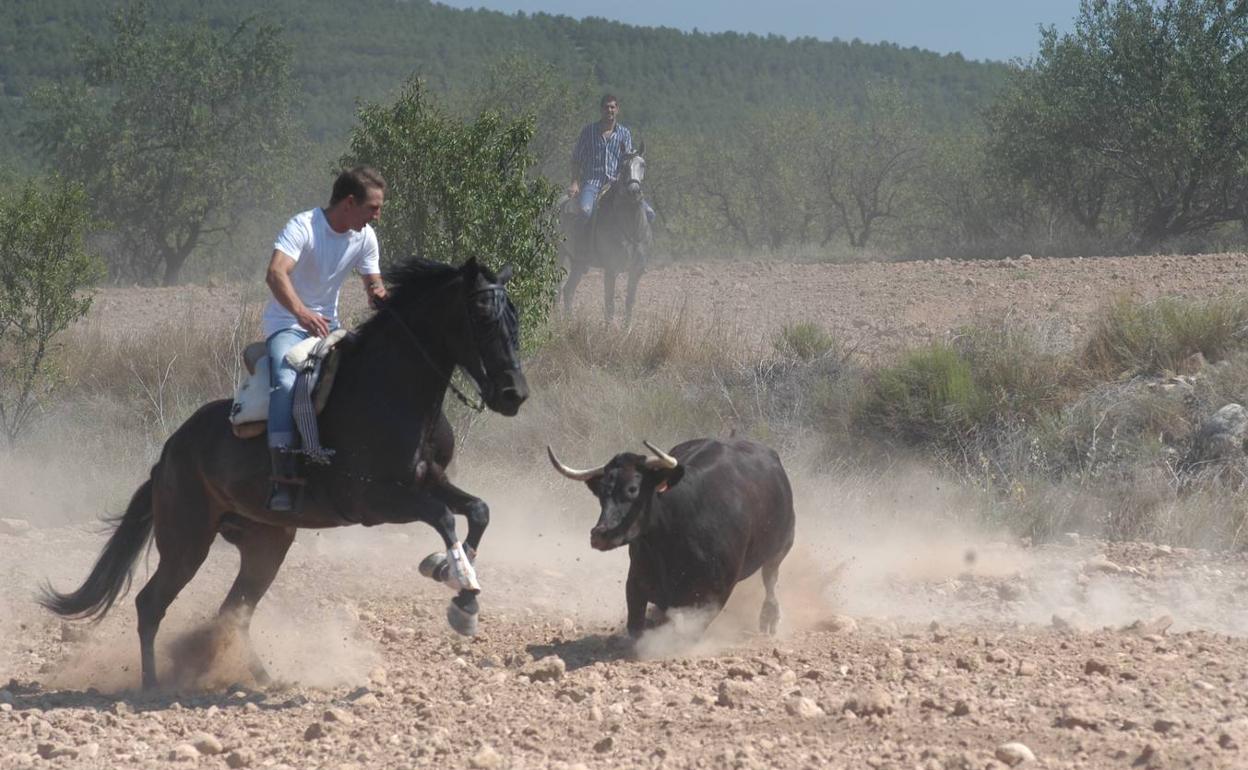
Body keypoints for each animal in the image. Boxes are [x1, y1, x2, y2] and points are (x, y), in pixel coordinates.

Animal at [40, 255, 526, 688]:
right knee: (150, 604)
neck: (391, 389)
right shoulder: (374, 500)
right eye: (482, 317)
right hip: (186, 542)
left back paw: (264, 679)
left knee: (232, 612)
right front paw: (459, 592)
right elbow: (444, 517)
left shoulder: (430, 479)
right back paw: (153, 686)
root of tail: (167, 456)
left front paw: (454, 579)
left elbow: (478, 511)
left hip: (266, 544)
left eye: (515, 319)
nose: (513, 394)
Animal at [549, 434, 798, 633]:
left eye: (633, 489)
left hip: (782, 546)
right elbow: (636, 626)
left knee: (770, 579)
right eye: (601, 493)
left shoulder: (714, 594)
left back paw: (770, 618)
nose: (599, 534)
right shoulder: (637, 583)